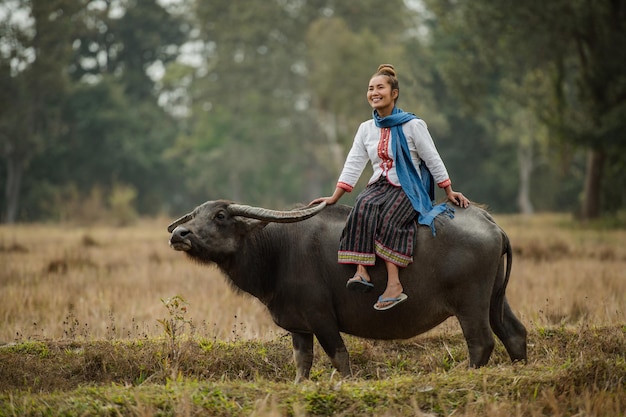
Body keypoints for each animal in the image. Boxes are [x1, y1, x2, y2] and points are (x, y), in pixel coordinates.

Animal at [168, 201, 524, 380]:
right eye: (195, 215)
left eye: (220, 215)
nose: (179, 234)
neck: (278, 251)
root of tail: (490, 222)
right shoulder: (300, 327)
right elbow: (302, 363)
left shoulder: (322, 318)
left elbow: (340, 358)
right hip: (495, 299)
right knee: (514, 333)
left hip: (470, 304)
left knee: (481, 343)